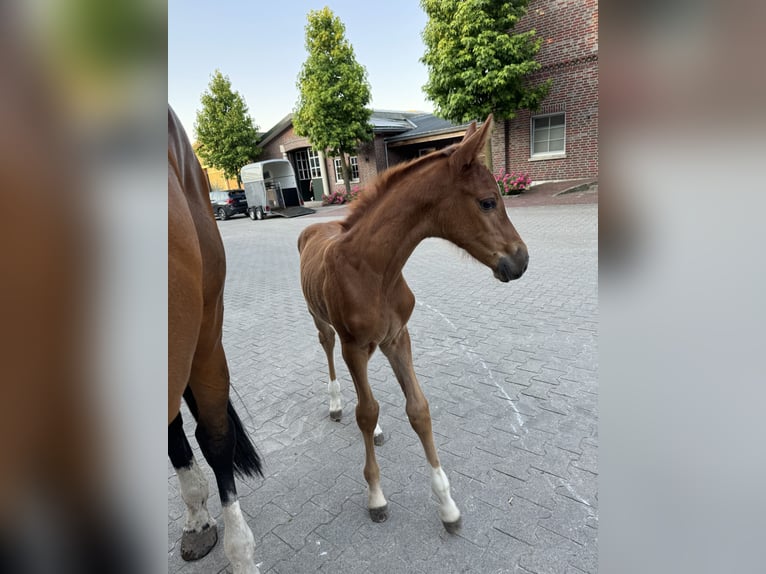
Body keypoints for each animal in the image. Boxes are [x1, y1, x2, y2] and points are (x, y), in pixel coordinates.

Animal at [298, 115, 528, 532]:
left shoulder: (397, 338)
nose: (521, 260)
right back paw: (336, 403)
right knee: (329, 350)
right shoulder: (354, 344)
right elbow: (366, 410)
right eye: (488, 202)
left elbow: (417, 410)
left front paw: (447, 504)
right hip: (322, 322)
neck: (375, 270)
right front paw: (376, 496)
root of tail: (313, 227)